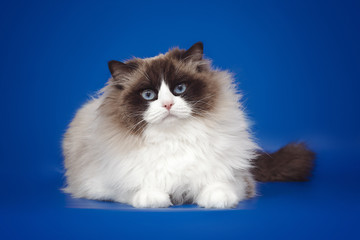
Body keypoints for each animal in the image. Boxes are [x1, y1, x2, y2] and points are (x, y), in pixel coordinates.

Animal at [62, 41, 316, 208]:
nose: (167, 105)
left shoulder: (240, 180)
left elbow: (218, 186)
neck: (175, 140)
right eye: (148, 95)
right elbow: (137, 188)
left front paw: (215, 200)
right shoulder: (97, 184)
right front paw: (155, 199)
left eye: (180, 89)